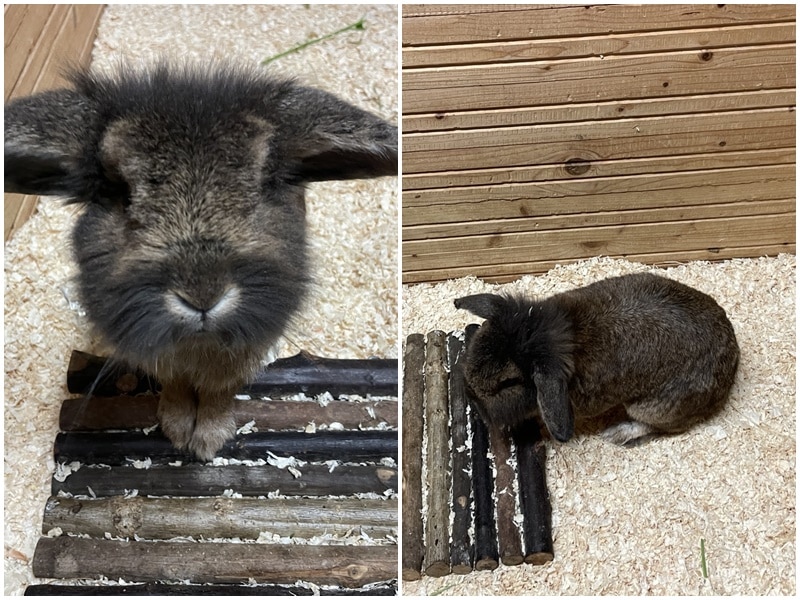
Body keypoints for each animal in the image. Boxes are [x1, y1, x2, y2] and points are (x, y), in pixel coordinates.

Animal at [4, 61, 397, 460]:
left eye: (262, 185)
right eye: (120, 193)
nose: (203, 296)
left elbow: (217, 391)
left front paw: (209, 442)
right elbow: (176, 385)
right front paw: (178, 431)